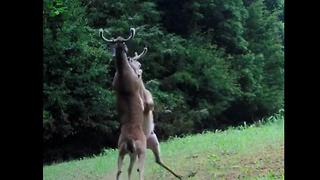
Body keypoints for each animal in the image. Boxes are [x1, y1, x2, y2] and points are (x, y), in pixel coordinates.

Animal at [99, 28, 181, 180]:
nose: (139, 69)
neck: (122, 73)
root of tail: (130, 141)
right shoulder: (146, 100)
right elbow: (151, 104)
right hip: (143, 149)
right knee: (140, 168)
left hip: (126, 150)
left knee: (123, 170)